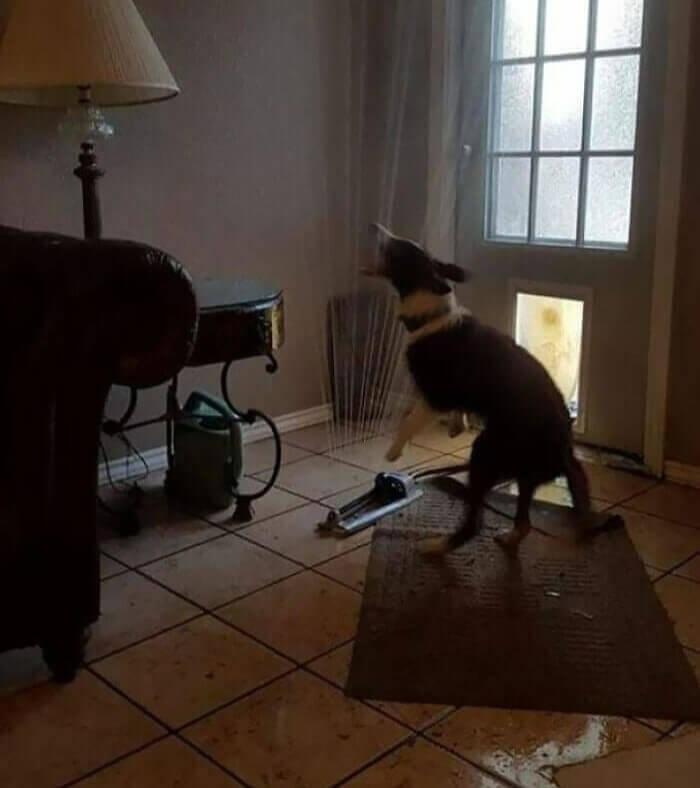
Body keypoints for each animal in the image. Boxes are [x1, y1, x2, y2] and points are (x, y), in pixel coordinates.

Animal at [363, 224, 592, 554]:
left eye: (397, 249)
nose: (373, 227)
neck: (429, 314)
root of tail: (564, 452)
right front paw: (456, 426)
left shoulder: (437, 394)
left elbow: (410, 420)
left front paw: (394, 451)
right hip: (523, 473)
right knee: (524, 522)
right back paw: (508, 538)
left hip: (486, 452)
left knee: (474, 524)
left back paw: (437, 546)